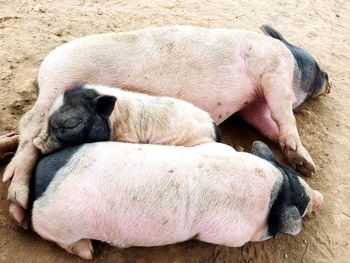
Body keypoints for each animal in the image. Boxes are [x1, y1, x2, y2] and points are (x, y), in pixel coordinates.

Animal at [29, 141, 322, 260]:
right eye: (301, 204)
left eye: (295, 174)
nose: (319, 197)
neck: (276, 189)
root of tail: (41, 180)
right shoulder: (230, 232)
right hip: (60, 223)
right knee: (60, 239)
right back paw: (88, 252)